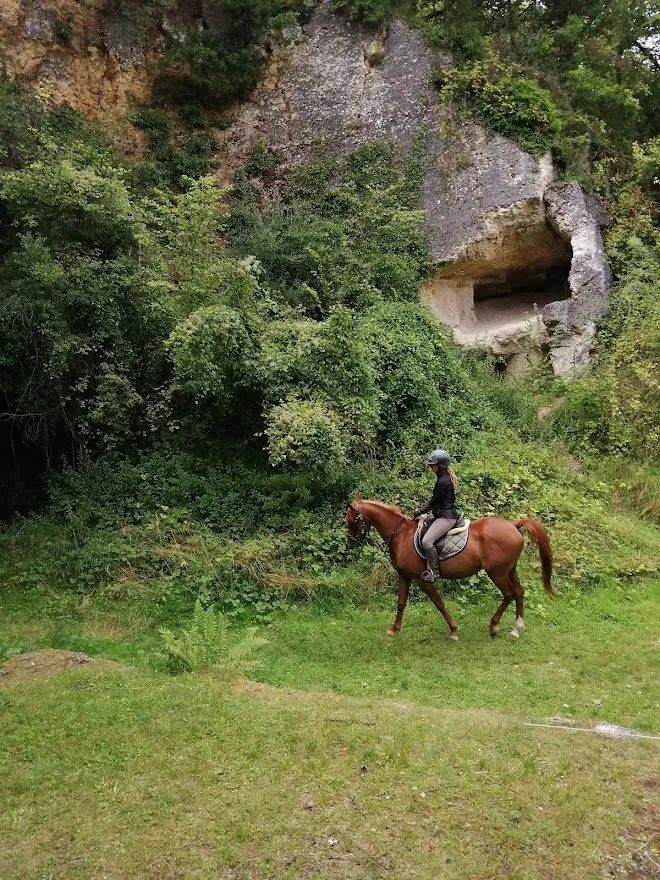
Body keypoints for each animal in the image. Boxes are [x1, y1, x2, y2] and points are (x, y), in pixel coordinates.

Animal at [348, 492, 556, 644]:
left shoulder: (422, 579)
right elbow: (401, 603)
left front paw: (454, 631)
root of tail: (513, 524)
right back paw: (516, 629)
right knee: (519, 593)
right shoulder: (404, 576)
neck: (401, 534)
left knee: (509, 594)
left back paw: (494, 626)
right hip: (509, 570)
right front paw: (394, 629)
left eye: (350, 520)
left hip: (497, 573)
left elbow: (439, 603)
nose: (350, 542)